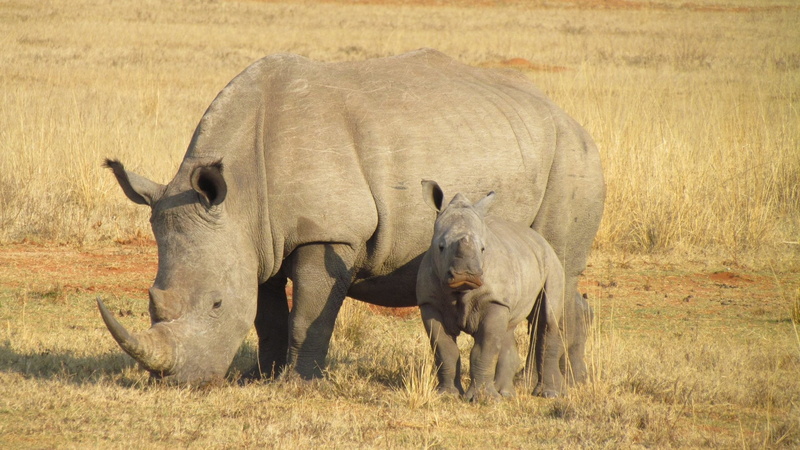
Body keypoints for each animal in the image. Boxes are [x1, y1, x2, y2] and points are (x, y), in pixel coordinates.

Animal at [417, 180, 568, 399]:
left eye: (483, 249)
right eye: (441, 247)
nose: (466, 274)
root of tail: (539, 238)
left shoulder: (493, 300)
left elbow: (484, 349)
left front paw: (483, 399)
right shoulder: (430, 302)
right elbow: (444, 350)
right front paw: (446, 395)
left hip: (552, 263)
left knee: (547, 319)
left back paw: (549, 394)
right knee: (507, 330)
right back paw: (506, 394)